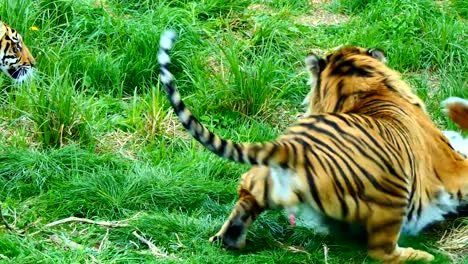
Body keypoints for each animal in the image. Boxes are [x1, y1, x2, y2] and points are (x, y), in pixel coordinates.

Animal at [158, 29, 468, 262]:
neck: (365, 89)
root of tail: (291, 147)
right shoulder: (451, 165)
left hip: (265, 181)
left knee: (247, 194)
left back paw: (228, 239)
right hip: (392, 199)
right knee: (381, 252)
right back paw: (421, 256)